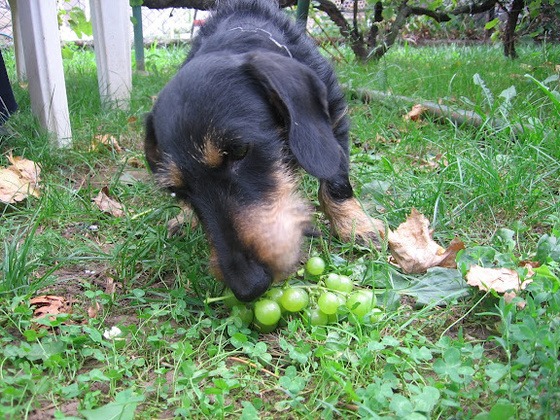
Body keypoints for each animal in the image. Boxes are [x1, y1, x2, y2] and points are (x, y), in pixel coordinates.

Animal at [143, 0, 384, 302]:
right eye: (176, 191)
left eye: (238, 150)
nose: (249, 287)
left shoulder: (335, 123)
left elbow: (336, 182)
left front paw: (354, 224)